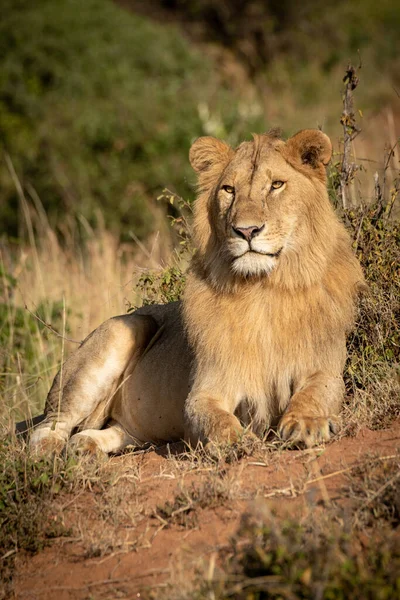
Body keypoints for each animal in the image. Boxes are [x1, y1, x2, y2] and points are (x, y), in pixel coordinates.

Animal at [24, 127, 362, 454]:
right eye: (229, 190)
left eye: (276, 185)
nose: (246, 231)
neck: (261, 289)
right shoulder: (206, 389)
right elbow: (215, 419)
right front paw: (235, 441)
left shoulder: (325, 367)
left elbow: (315, 394)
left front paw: (307, 424)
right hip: (125, 327)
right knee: (47, 427)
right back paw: (51, 453)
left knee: (111, 432)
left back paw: (86, 447)